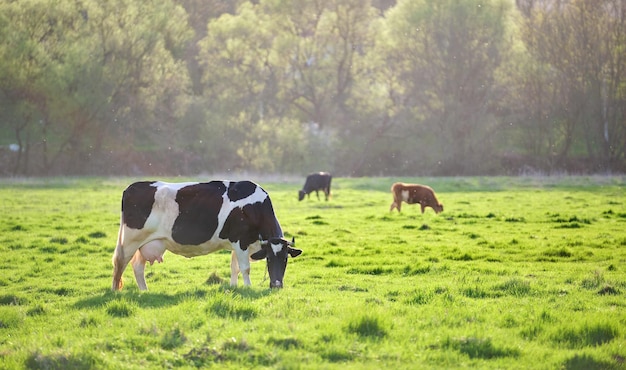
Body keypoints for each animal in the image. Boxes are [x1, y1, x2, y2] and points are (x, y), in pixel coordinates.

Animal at [111, 181, 302, 290]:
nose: (276, 285)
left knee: (137, 266)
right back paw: (115, 291)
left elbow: (235, 268)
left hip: (148, 243)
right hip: (130, 240)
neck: (254, 207)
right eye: (268, 258)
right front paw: (248, 287)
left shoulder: (238, 244)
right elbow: (245, 268)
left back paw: (144, 291)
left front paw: (234, 287)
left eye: (285, 259)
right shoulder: (240, 241)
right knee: (120, 263)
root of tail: (132, 187)